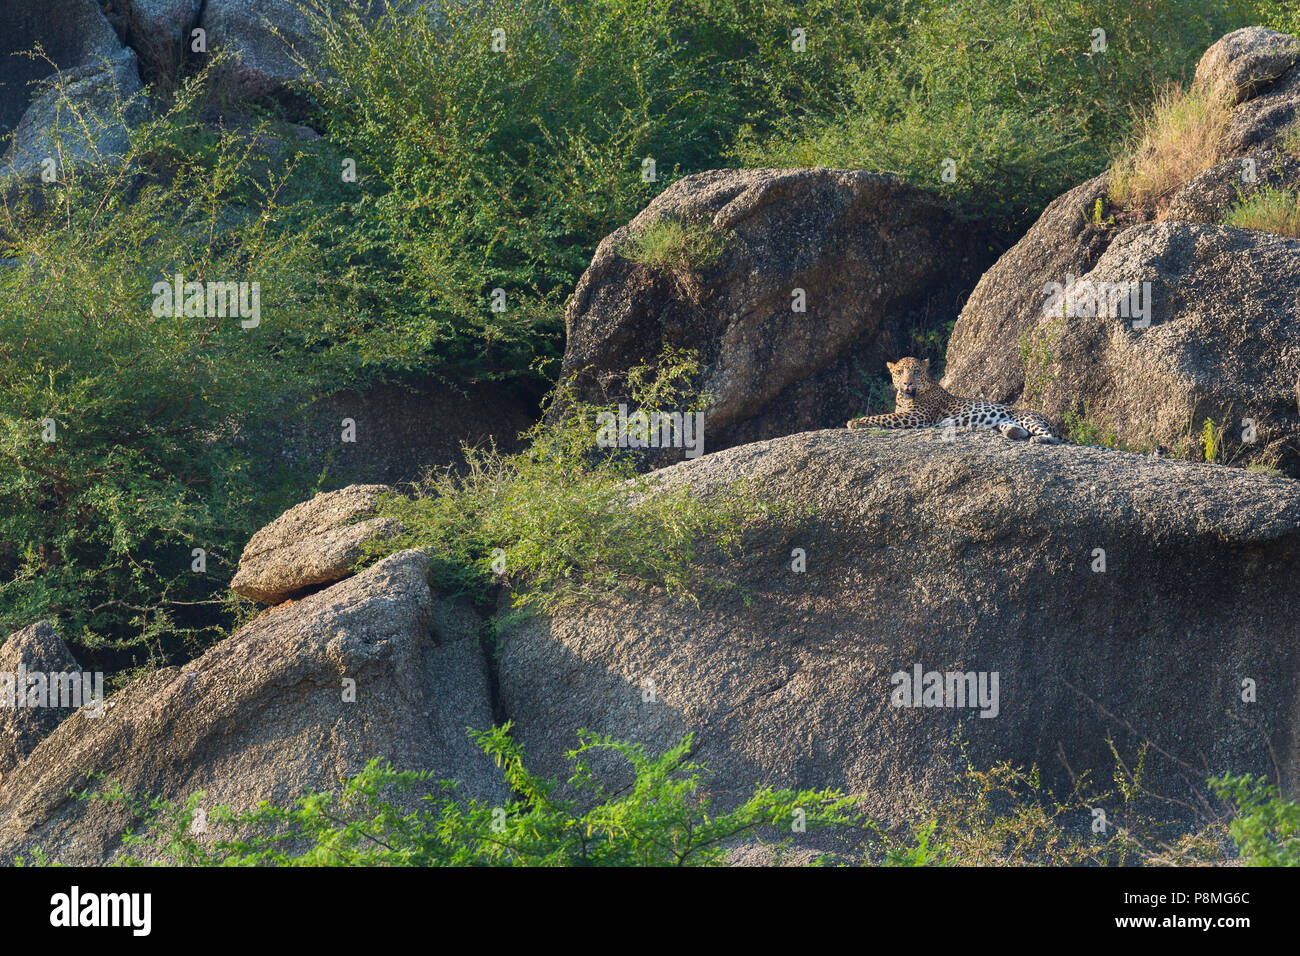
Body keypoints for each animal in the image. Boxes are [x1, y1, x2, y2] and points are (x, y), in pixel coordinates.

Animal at [847, 358, 1060, 444]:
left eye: (916, 371)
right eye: (899, 372)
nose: (907, 383)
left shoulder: (914, 417)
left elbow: (881, 417)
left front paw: (855, 422)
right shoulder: (905, 414)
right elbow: (885, 415)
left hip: (1028, 418)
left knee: (1051, 436)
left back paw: (1039, 439)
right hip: (1003, 422)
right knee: (1016, 429)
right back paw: (1013, 432)